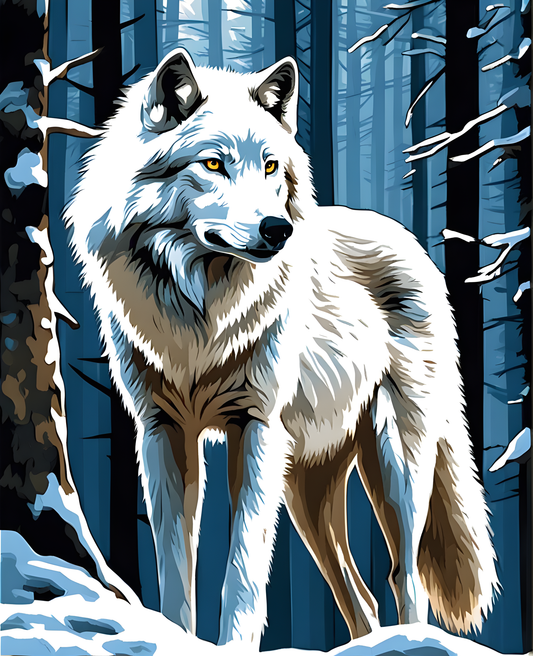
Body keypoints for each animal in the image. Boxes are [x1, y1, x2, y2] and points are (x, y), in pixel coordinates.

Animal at [64, 48, 499, 646]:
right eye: (213, 164)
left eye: (270, 167)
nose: (278, 230)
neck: (201, 316)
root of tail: (413, 245)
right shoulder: (162, 432)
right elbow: (175, 569)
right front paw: (176, 637)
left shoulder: (257, 428)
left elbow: (243, 573)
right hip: (304, 490)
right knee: (361, 597)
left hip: (394, 463)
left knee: (403, 576)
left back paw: (410, 642)